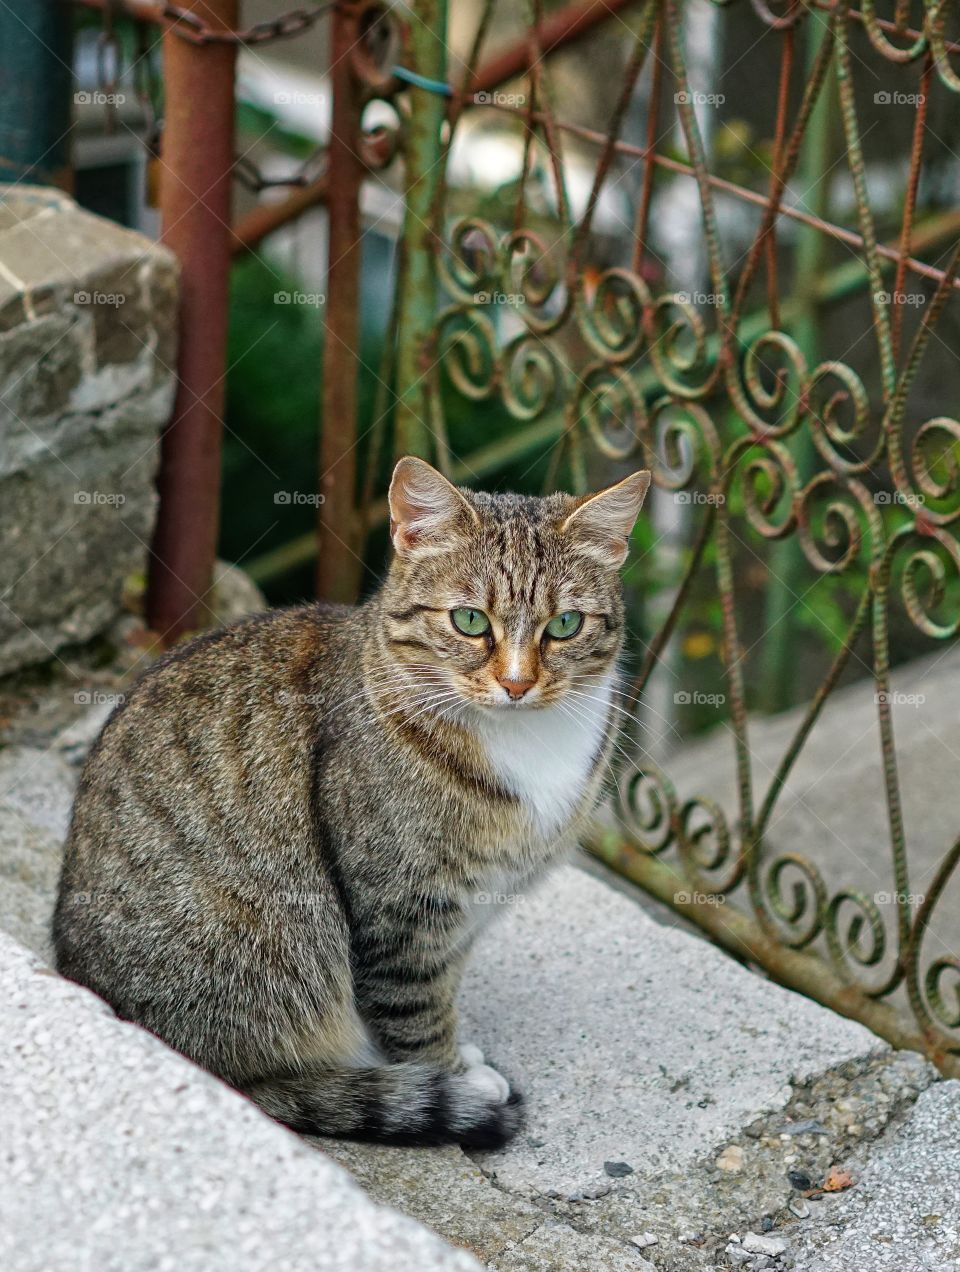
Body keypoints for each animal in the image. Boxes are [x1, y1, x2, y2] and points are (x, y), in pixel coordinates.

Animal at [54, 460, 651, 1154]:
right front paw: (451, 1079)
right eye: (470, 621)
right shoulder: (400, 909)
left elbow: (444, 984)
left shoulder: (468, 910)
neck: (523, 741)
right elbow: (416, 1013)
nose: (517, 683)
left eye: (564, 626)